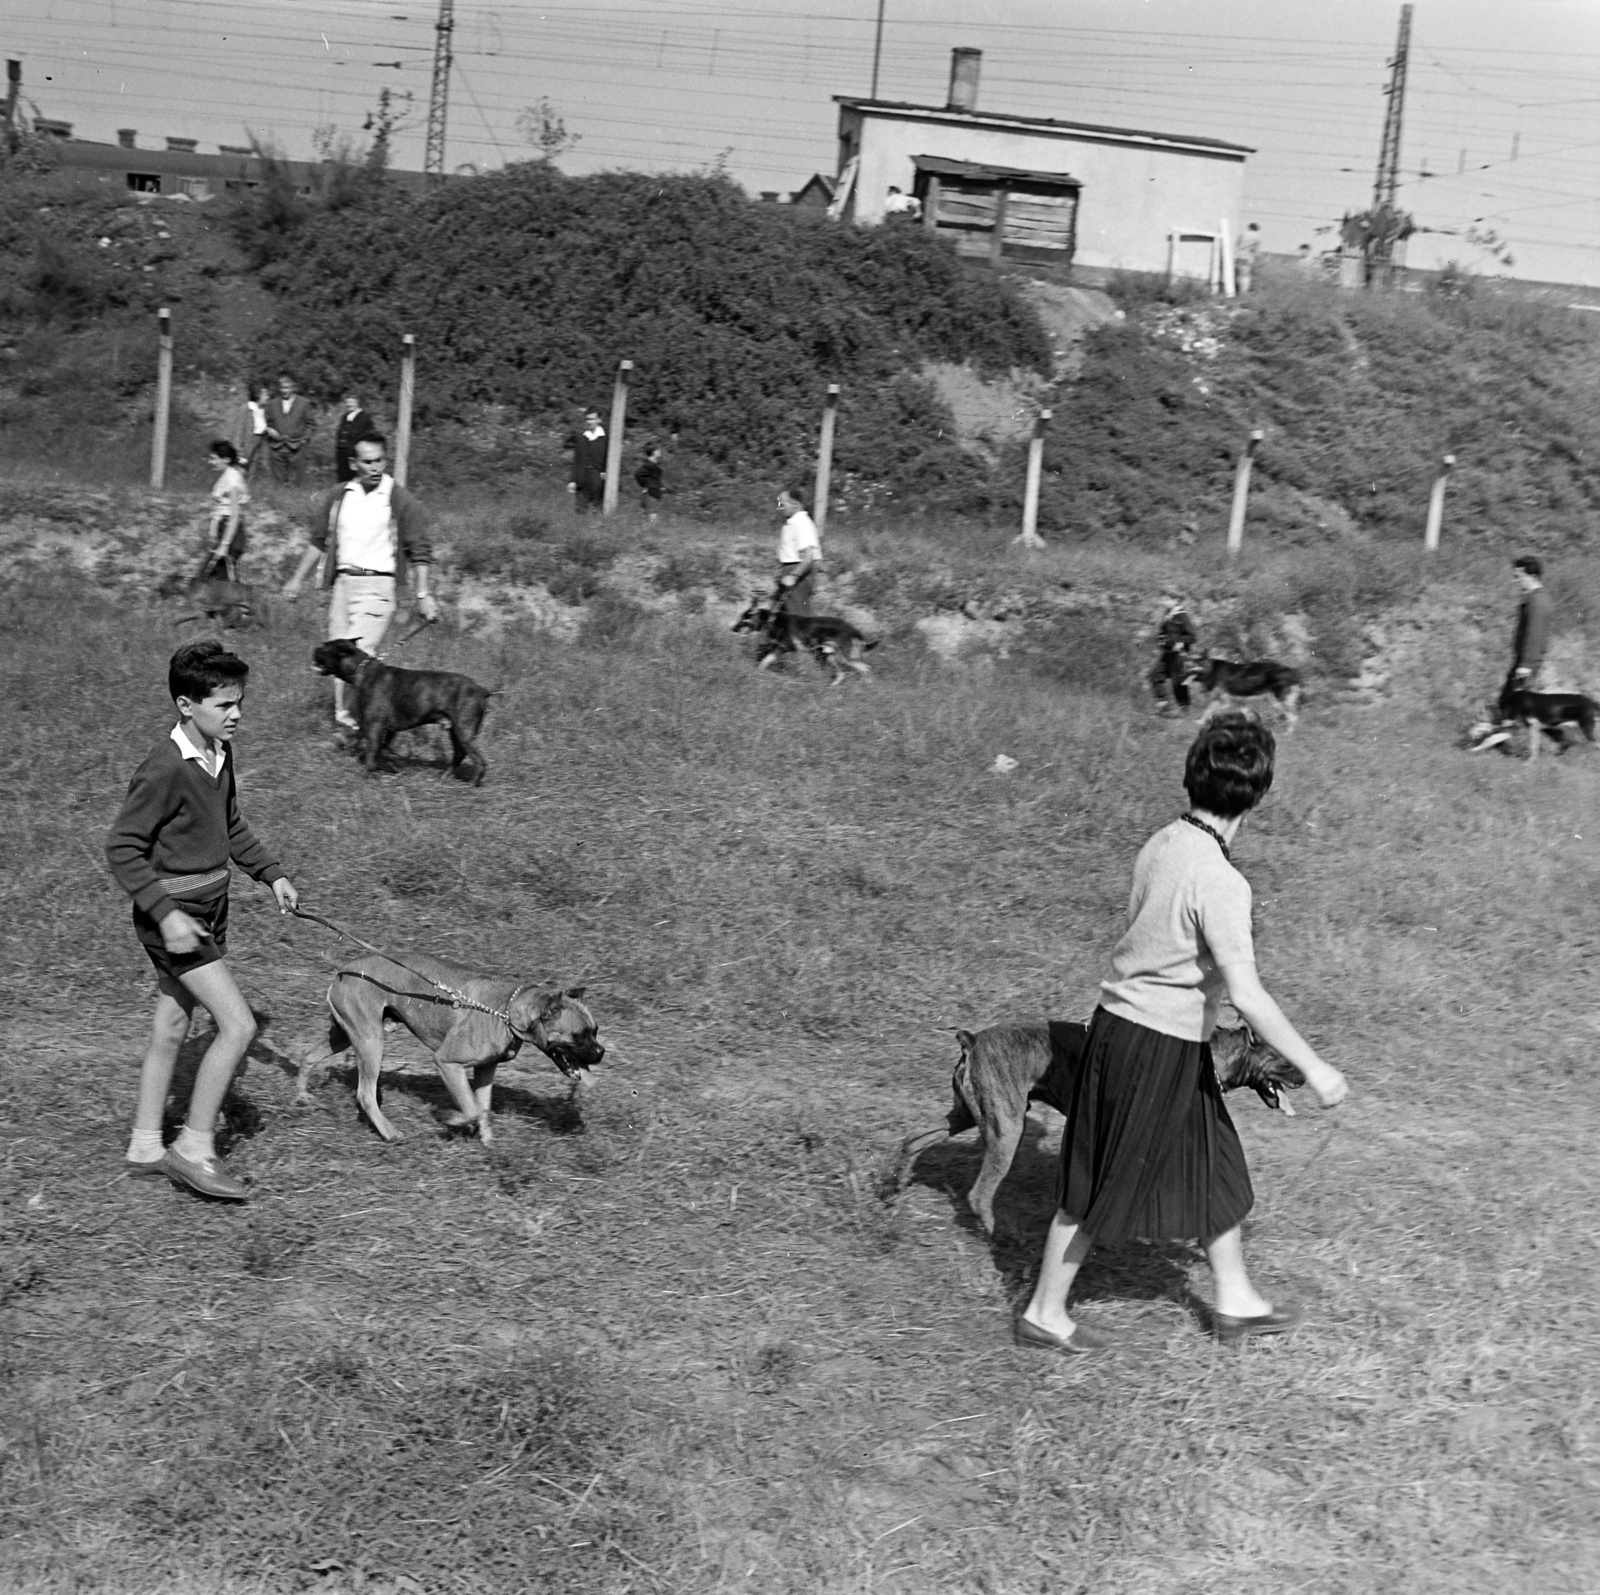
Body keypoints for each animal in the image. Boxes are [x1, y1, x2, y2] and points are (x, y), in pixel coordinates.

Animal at [302, 947, 601, 1145]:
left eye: (595, 1031)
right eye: (579, 1035)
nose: (601, 1052)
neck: (507, 1011)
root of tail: (345, 967)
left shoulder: (486, 1070)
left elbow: (482, 1107)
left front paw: (487, 1143)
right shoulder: (447, 1064)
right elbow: (470, 1108)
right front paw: (449, 1118)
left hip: (346, 1034)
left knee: (307, 1056)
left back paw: (302, 1097)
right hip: (370, 1041)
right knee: (365, 1093)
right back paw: (390, 1132)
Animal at [308, 633, 489, 783]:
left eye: (324, 647)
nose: (315, 648)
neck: (361, 669)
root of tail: (481, 690)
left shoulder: (373, 727)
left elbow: (372, 751)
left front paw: (368, 774)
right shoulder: (388, 730)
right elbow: (381, 748)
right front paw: (390, 765)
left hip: (463, 732)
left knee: (479, 761)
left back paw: (472, 784)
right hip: (456, 732)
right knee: (459, 754)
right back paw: (445, 777)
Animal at [732, 598, 883, 684]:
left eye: (744, 619)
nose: (733, 629)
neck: (772, 620)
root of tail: (853, 630)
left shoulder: (788, 650)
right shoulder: (777, 649)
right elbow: (764, 661)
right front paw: (756, 671)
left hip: (845, 657)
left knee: (865, 668)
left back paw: (868, 684)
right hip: (830, 656)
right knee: (842, 674)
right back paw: (832, 687)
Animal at [896, 1023, 1305, 1235]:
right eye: (1284, 1060)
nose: (1303, 1077)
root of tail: (973, 1041)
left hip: (967, 1115)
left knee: (914, 1138)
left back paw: (896, 1185)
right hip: (1006, 1130)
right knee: (979, 1194)